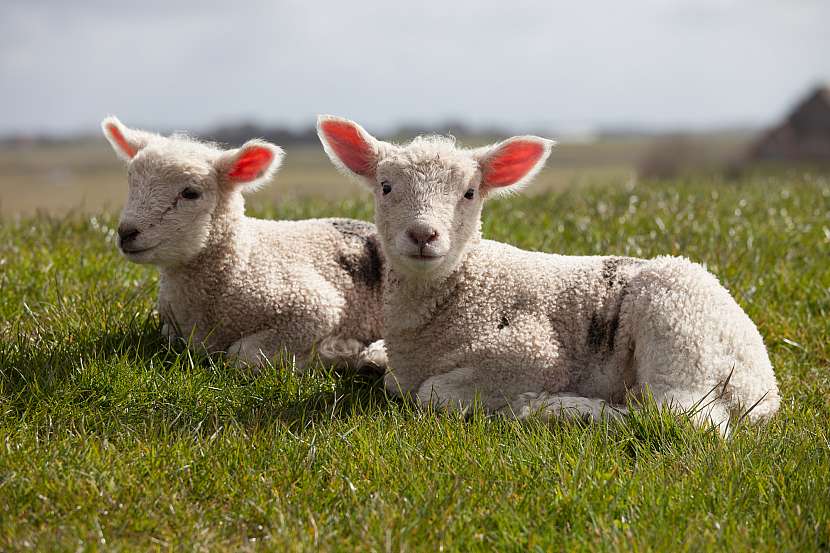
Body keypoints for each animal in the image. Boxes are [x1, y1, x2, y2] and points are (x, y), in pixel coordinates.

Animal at [105, 114, 390, 368]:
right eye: (131, 181)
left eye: (190, 193)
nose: (126, 232)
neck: (242, 259)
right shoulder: (173, 328)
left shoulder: (312, 306)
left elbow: (242, 355)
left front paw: (335, 351)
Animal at [316, 114, 780, 432]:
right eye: (386, 187)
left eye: (469, 193)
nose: (423, 234)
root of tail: (766, 388)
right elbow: (391, 380)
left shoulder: (531, 351)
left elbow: (434, 394)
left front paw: (506, 402)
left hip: (678, 326)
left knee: (684, 417)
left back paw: (556, 409)